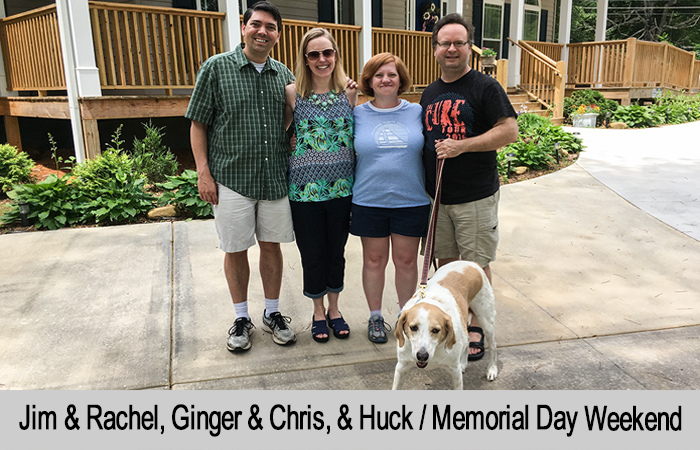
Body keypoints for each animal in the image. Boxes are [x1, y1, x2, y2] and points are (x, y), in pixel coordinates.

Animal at [392, 260, 494, 390]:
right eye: (413, 327)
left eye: (436, 330)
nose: (422, 356)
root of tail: (471, 263)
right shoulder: (401, 367)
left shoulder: (455, 372)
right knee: (468, 339)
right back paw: (463, 363)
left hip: (486, 322)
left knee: (493, 346)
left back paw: (492, 370)